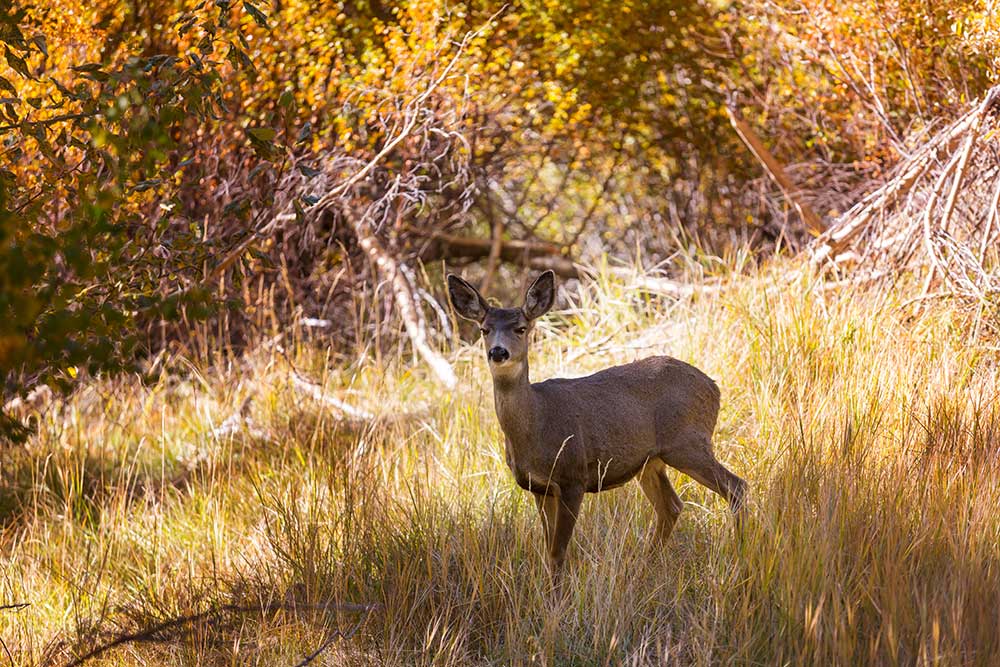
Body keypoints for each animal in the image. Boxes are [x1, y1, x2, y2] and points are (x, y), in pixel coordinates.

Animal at [450, 272, 748, 580]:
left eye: (521, 328)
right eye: (484, 329)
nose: (498, 352)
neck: (537, 422)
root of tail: (714, 387)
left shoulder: (573, 476)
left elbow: (558, 552)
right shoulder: (538, 486)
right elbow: (548, 549)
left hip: (688, 442)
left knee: (737, 487)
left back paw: (741, 562)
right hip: (650, 461)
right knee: (672, 507)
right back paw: (643, 568)